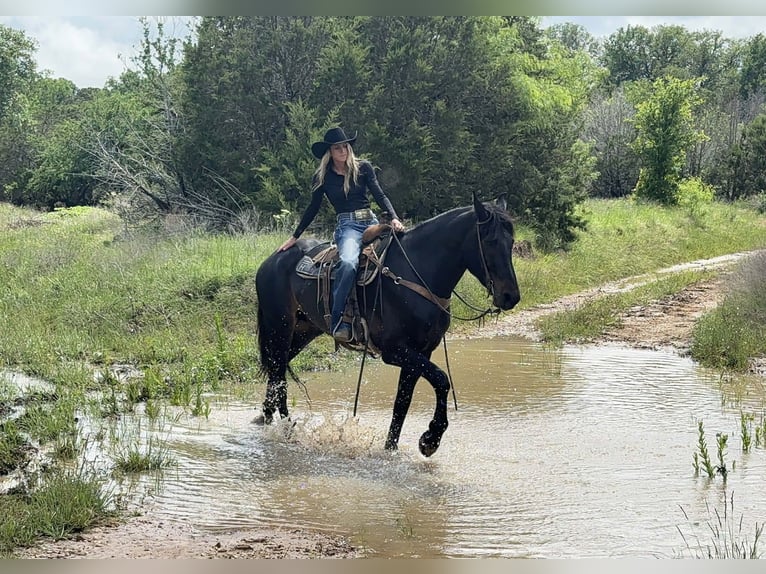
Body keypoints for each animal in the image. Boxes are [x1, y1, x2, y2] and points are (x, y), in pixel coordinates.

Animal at [254, 193, 520, 457]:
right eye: (490, 241)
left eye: (511, 242)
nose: (511, 297)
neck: (416, 274)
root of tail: (272, 260)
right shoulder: (395, 351)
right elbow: (442, 379)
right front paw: (430, 439)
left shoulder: (421, 353)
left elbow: (402, 403)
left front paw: (391, 448)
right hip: (280, 327)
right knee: (278, 374)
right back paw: (286, 428)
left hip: (303, 330)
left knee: (277, 368)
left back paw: (267, 418)